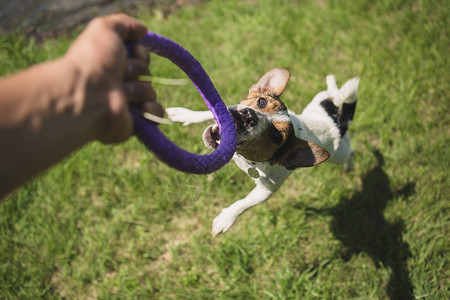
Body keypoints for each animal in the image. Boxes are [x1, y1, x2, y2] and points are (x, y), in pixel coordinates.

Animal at [165, 67, 358, 234]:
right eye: (261, 101)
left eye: (276, 136)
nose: (249, 116)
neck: (244, 158)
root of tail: (338, 120)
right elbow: (207, 113)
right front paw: (184, 114)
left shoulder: (267, 190)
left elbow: (245, 203)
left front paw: (226, 219)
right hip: (318, 101)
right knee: (334, 94)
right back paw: (332, 84)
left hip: (338, 154)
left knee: (349, 152)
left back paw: (349, 166)